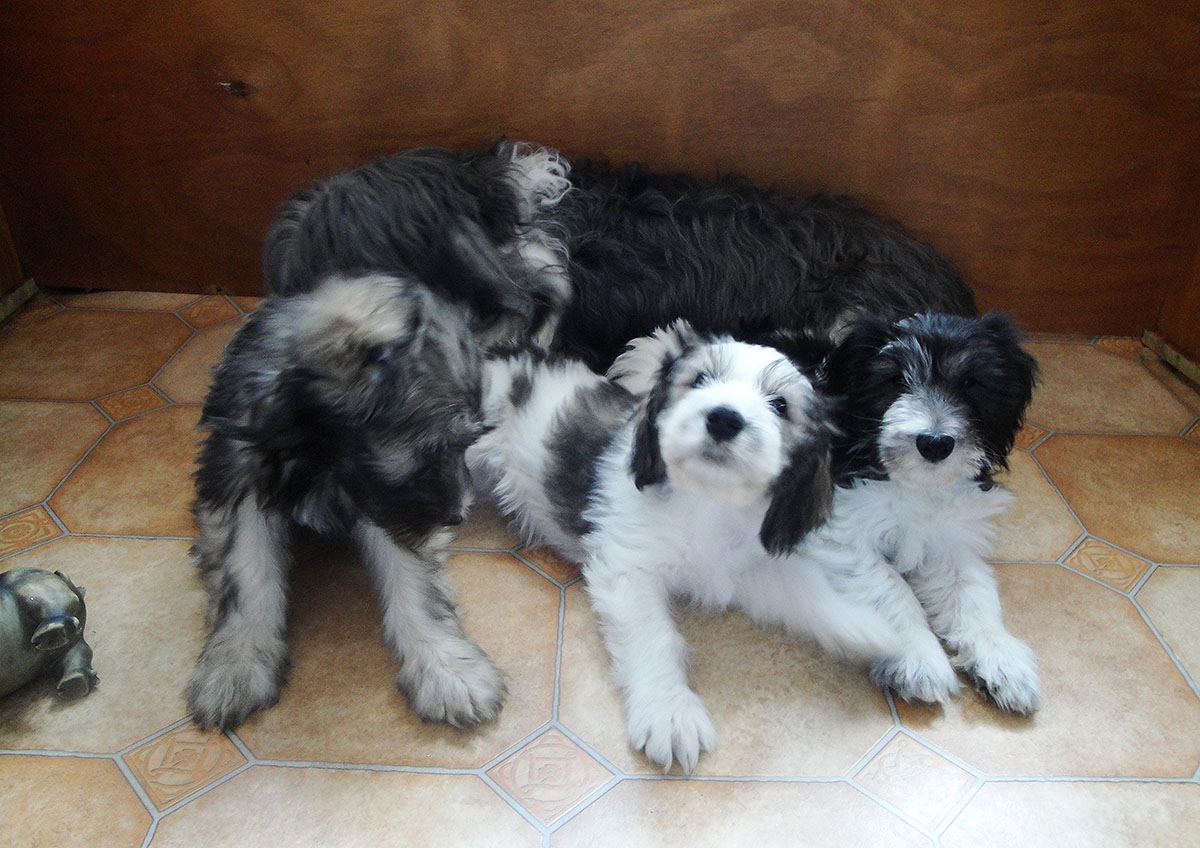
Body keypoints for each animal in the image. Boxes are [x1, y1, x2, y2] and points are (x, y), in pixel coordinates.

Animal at [186, 273, 506, 730]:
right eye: (436, 448)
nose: (458, 515)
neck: (320, 453)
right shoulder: (238, 476)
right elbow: (246, 572)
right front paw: (235, 663)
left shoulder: (391, 509)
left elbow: (415, 582)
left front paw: (447, 669)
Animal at [467, 322, 905, 772]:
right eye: (699, 380)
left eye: (780, 404)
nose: (724, 418)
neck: (706, 500)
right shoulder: (628, 569)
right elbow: (654, 637)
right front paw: (669, 712)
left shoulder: (748, 567)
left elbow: (809, 595)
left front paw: (871, 630)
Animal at [767, 311, 1042, 714]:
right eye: (895, 379)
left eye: (971, 382)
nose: (935, 443)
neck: (913, 486)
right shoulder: (841, 533)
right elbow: (891, 587)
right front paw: (918, 660)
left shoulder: (951, 537)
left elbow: (971, 592)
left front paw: (1002, 659)